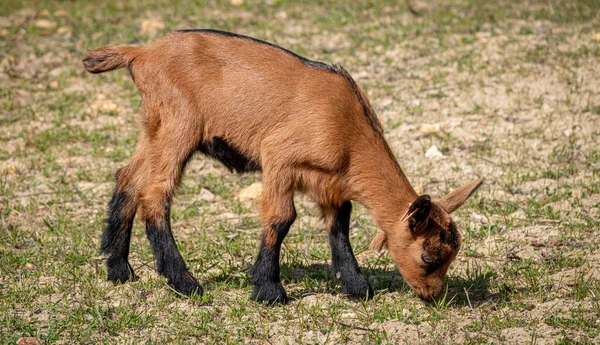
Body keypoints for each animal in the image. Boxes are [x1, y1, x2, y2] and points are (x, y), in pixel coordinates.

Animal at [83, 29, 482, 304]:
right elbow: (281, 219)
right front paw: (268, 289)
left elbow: (339, 225)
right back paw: (185, 283)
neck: (346, 125)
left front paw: (356, 286)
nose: (434, 296)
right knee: (155, 193)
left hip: (155, 126)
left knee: (128, 178)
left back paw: (118, 269)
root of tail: (142, 53)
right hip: (179, 125)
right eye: (428, 256)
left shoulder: (331, 181)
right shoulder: (278, 157)